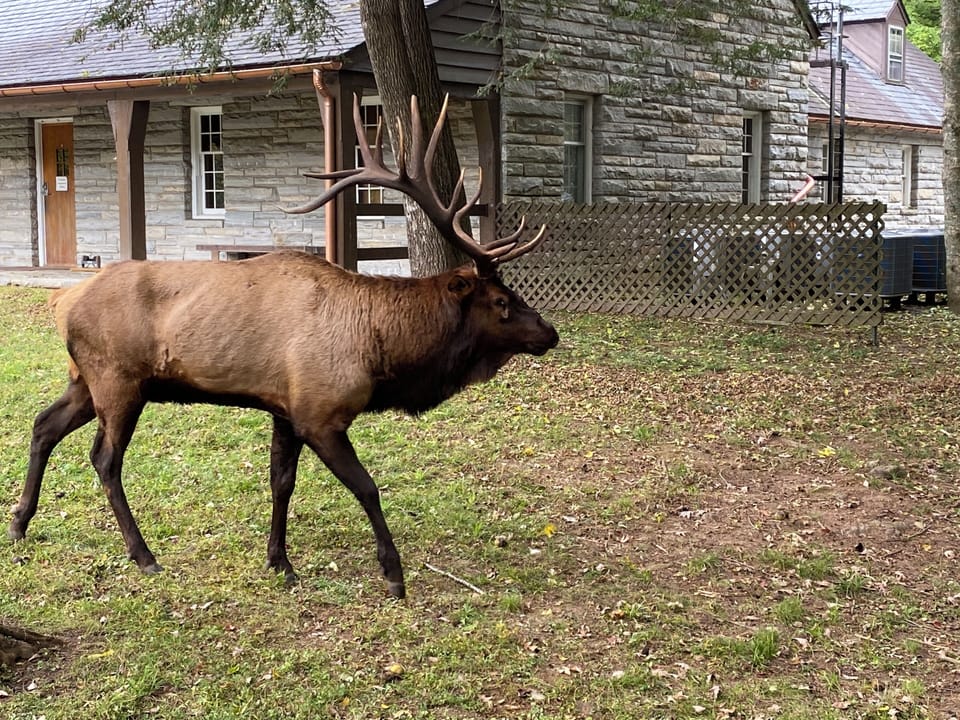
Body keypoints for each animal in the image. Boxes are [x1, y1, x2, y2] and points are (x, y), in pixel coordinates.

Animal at [7, 95, 558, 599]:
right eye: (502, 301)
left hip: (85, 378)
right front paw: (393, 573)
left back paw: (19, 523)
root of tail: (61, 299)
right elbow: (367, 486)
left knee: (43, 425)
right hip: (119, 380)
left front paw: (279, 562)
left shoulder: (284, 409)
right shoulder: (320, 413)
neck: (381, 354)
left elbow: (281, 482)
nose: (549, 332)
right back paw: (143, 554)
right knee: (104, 458)